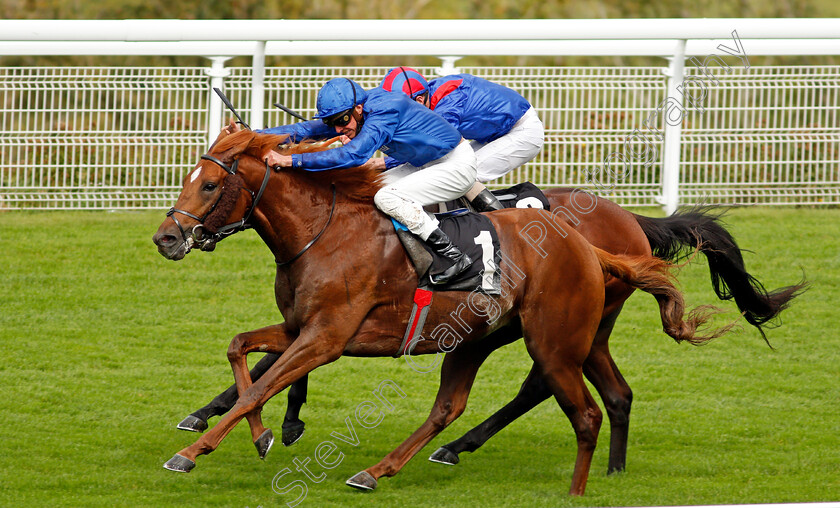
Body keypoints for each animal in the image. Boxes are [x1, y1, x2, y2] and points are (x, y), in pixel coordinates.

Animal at [153, 129, 728, 494]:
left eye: (209, 184)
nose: (166, 238)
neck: (325, 232)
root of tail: (593, 243)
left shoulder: (327, 336)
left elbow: (262, 385)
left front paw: (197, 450)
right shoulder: (300, 327)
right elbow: (242, 353)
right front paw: (262, 433)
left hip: (554, 338)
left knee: (566, 401)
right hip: (488, 336)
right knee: (460, 405)